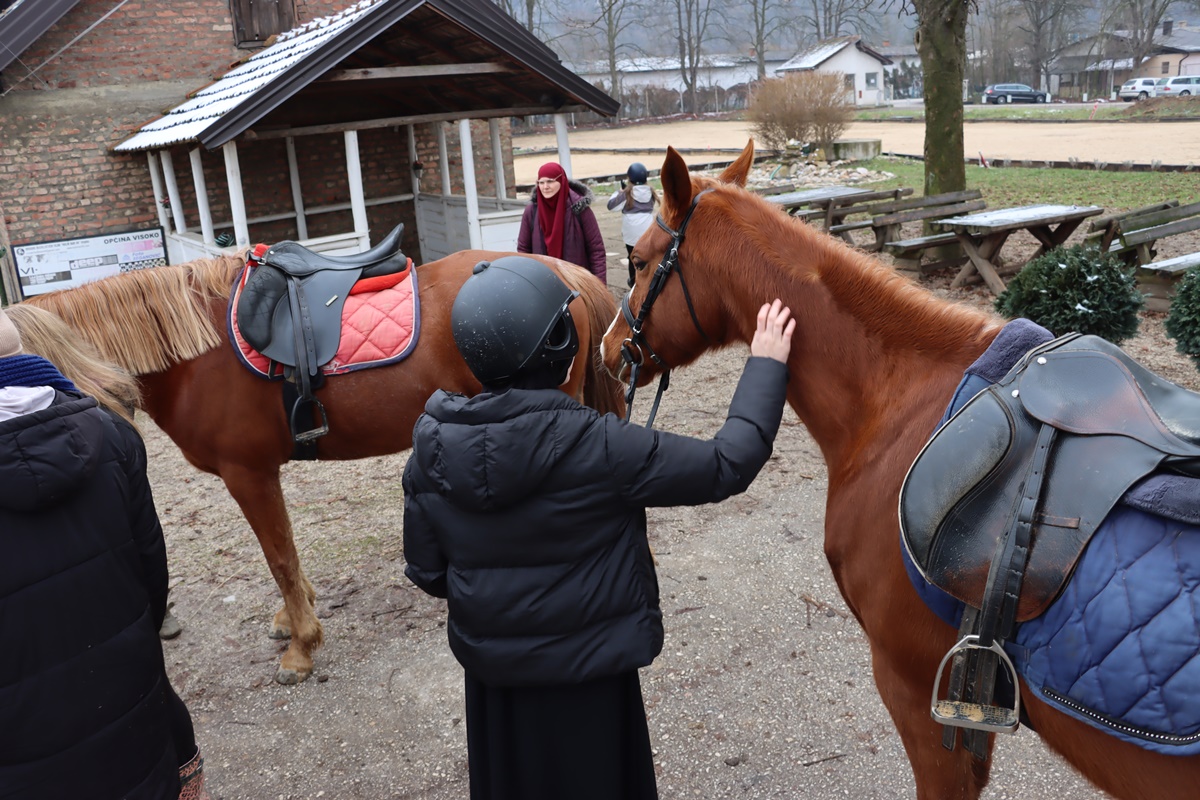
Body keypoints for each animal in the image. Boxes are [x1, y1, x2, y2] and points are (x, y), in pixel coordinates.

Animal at [21, 248, 628, 681]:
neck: (199, 349)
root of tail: (561, 270)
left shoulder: (248, 474)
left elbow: (279, 558)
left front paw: (301, 647)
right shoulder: (261, 475)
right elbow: (286, 550)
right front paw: (295, 619)